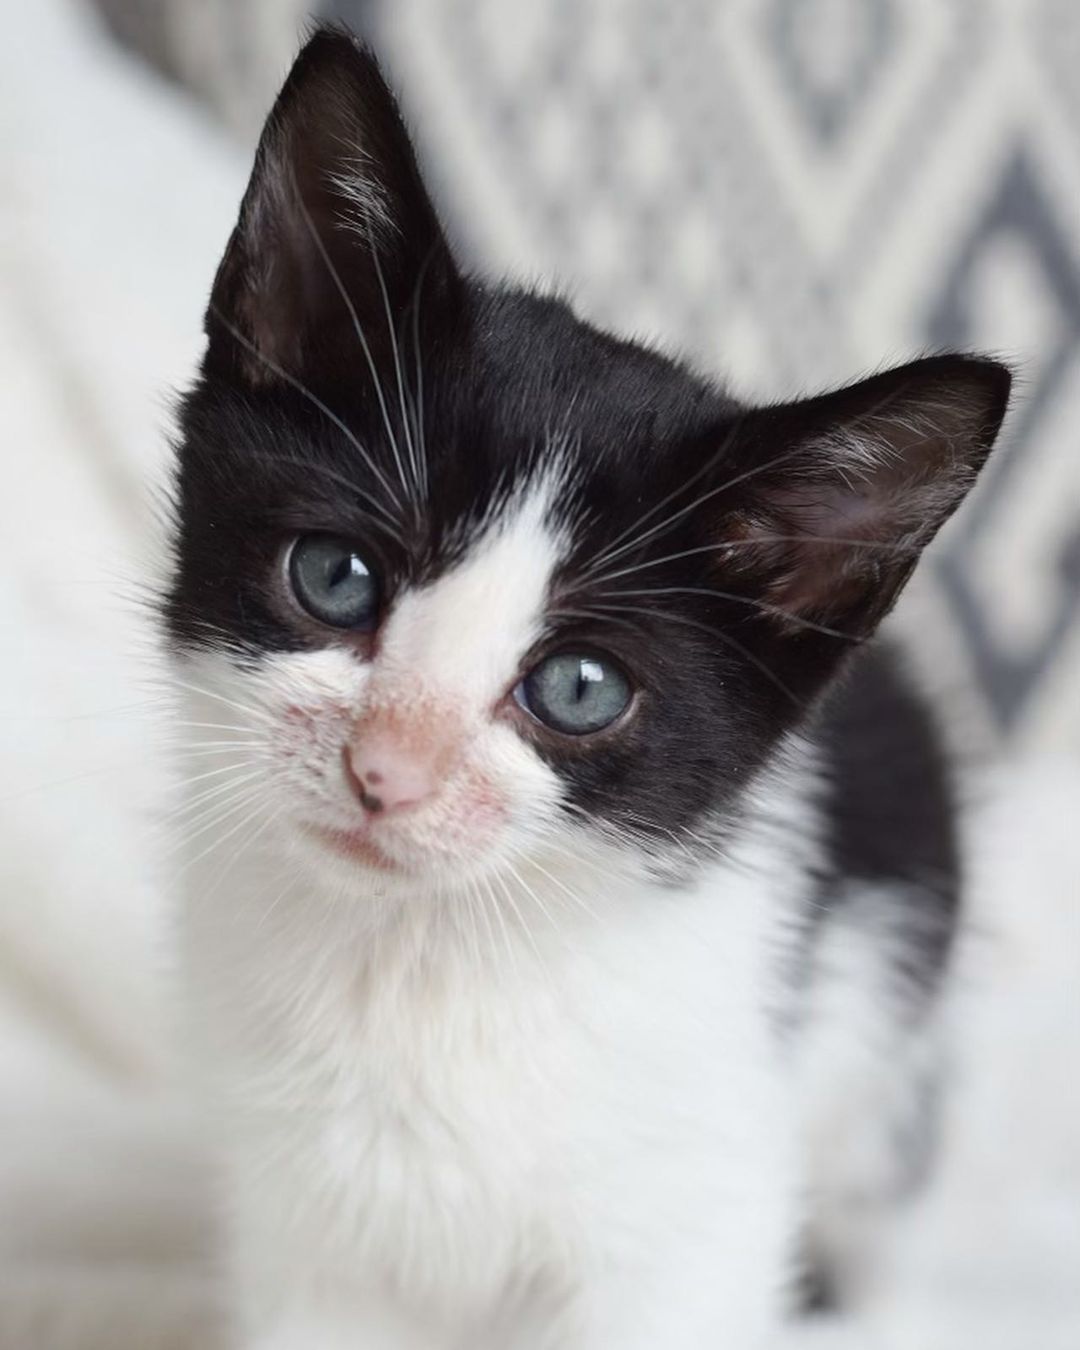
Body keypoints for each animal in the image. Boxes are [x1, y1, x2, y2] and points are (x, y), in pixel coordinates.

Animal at [164, 23, 1009, 1350]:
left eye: (575, 689)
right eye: (335, 577)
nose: (385, 771)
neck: (426, 963)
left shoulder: (691, 1217)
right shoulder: (305, 1228)